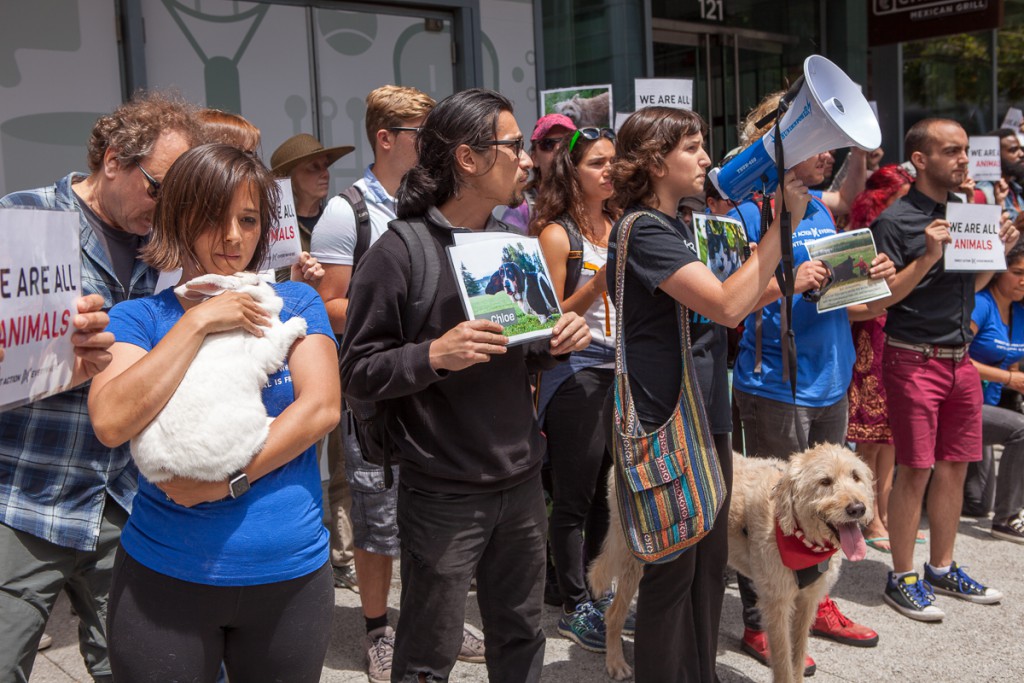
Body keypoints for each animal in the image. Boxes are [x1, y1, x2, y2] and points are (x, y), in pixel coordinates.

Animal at [128, 272, 305, 481]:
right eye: (256, 283)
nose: (274, 290)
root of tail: (163, 463)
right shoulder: (268, 345)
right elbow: (282, 338)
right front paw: (300, 324)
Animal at [593, 440, 872, 679]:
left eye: (855, 477)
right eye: (825, 481)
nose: (858, 508)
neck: (796, 532)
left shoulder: (807, 602)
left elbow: (797, 657)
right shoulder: (777, 604)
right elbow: (783, 663)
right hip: (636, 559)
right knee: (613, 613)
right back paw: (616, 662)